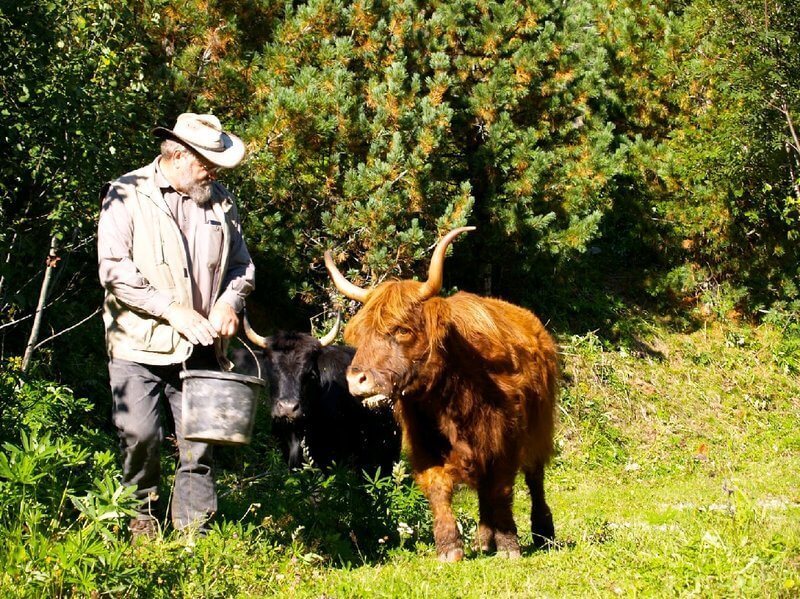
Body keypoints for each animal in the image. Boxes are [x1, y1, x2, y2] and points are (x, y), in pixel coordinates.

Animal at [324, 226, 556, 564]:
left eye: (402, 330)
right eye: (361, 334)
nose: (357, 379)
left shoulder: (505, 439)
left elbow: (501, 489)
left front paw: (509, 546)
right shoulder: (424, 442)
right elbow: (438, 488)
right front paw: (449, 548)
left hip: (540, 425)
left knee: (534, 477)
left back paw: (543, 534)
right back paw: (483, 541)